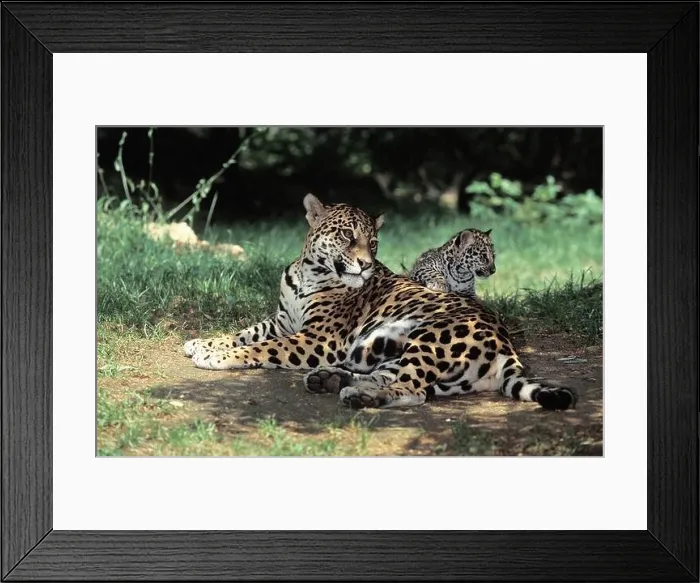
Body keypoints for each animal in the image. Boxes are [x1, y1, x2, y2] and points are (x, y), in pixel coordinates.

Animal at [184, 193, 577, 411]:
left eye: (373, 243)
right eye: (346, 235)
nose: (366, 264)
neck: (309, 272)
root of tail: (507, 346)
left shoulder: (318, 338)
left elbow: (263, 348)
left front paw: (217, 357)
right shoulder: (282, 321)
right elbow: (244, 332)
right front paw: (202, 342)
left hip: (429, 340)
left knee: (415, 391)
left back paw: (356, 397)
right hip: (381, 349)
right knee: (395, 379)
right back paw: (333, 380)